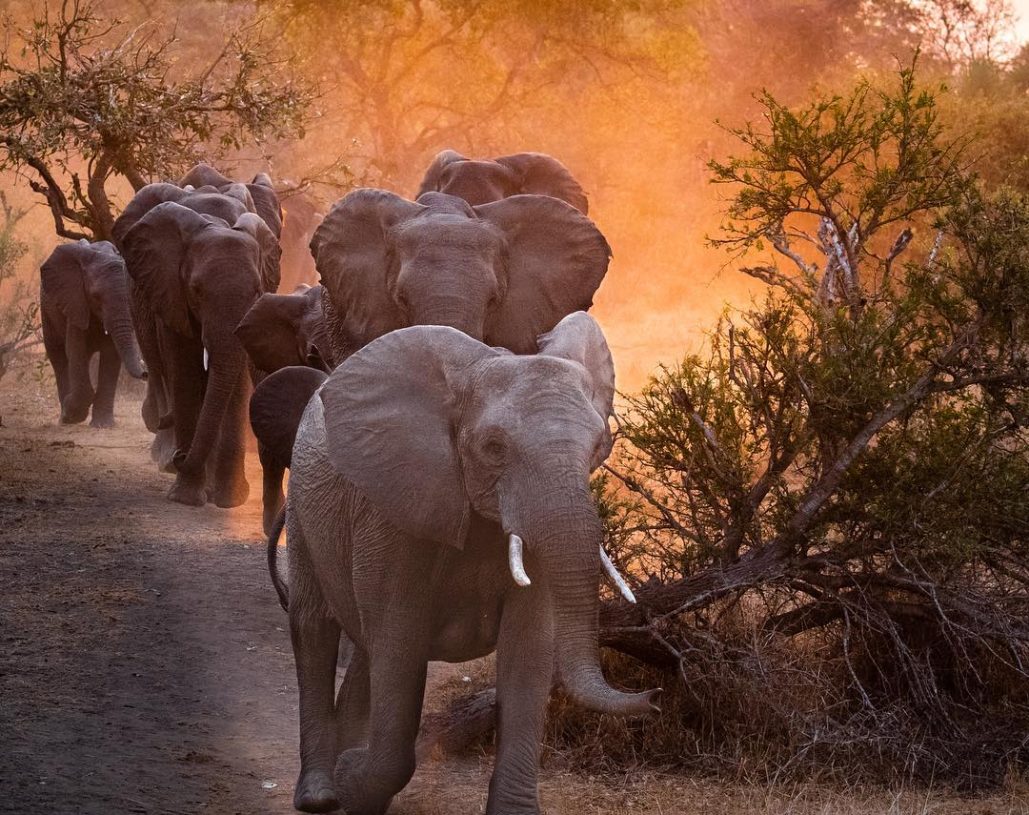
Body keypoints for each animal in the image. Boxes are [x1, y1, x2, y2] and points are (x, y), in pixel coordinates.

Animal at [40, 240, 147, 428]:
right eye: (96, 296)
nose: (145, 372)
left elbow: (111, 355)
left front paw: (103, 425)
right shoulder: (75, 301)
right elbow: (75, 350)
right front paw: (72, 415)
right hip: (47, 312)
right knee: (58, 356)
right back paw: (64, 418)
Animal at [113, 182, 279, 469]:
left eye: (258, 290)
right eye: (196, 291)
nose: (181, 457)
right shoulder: (169, 291)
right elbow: (182, 368)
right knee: (160, 365)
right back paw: (166, 455)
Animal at [253, 313, 657, 815]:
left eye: (599, 445)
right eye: (494, 447)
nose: (655, 697)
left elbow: (529, 650)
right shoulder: (393, 513)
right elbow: (400, 644)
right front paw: (350, 778)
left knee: (365, 646)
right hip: (307, 512)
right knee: (315, 630)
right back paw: (321, 793)